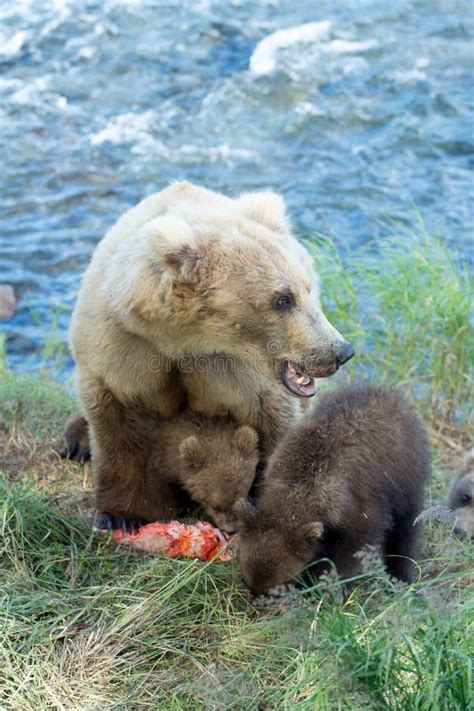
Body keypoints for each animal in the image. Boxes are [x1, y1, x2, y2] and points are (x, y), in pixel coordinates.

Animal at [61, 181, 354, 532]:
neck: (184, 339)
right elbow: (118, 425)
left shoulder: (237, 373)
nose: (340, 351)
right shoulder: (124, 346)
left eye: (307, 289)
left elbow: (273, 427)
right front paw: (121, 515)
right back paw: (76, 441)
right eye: (282, 299)